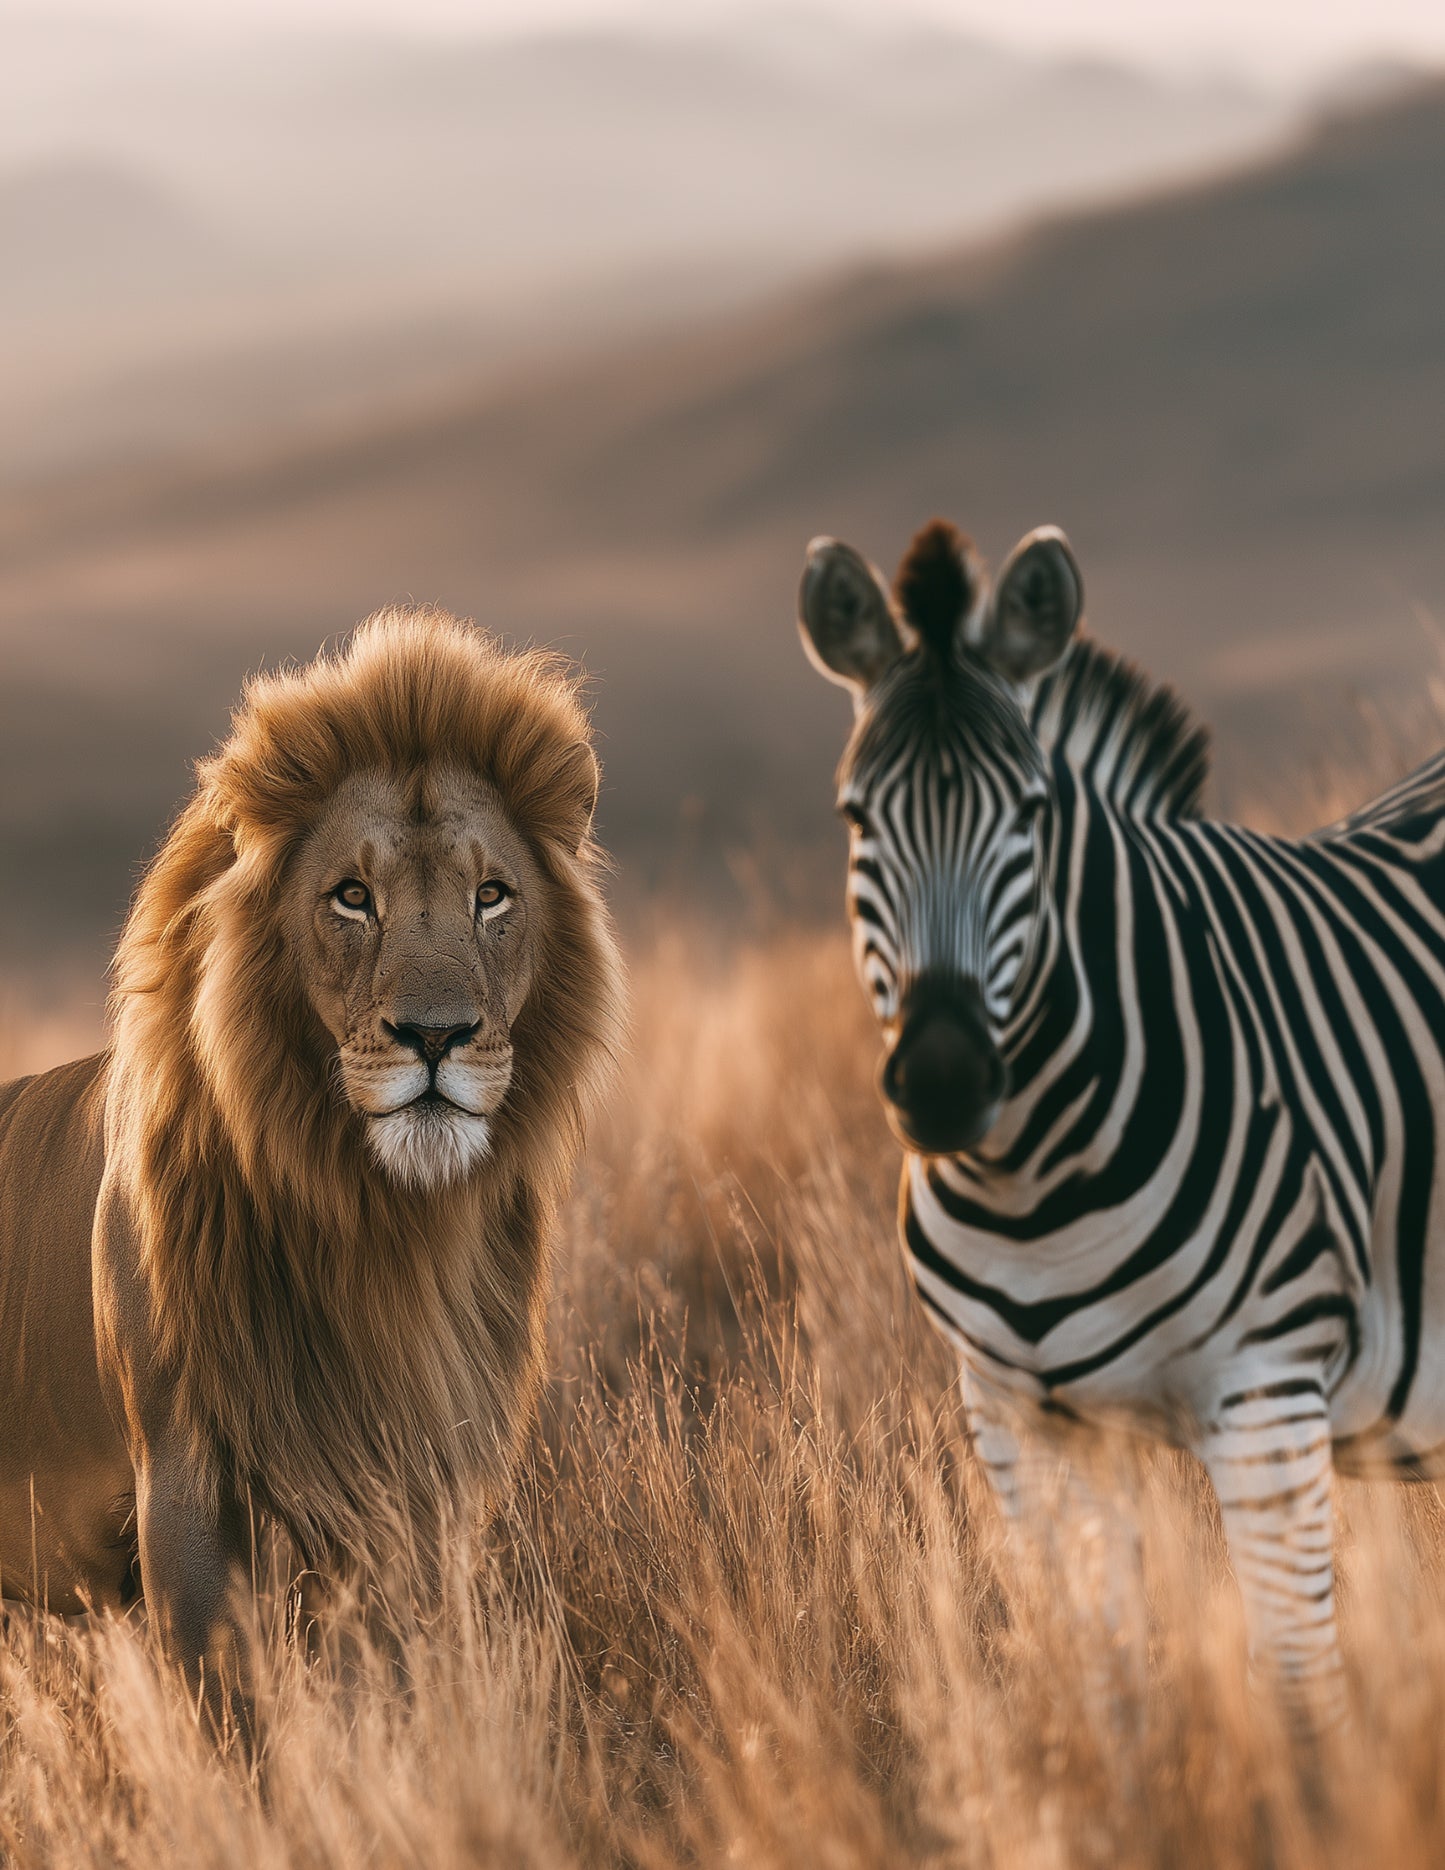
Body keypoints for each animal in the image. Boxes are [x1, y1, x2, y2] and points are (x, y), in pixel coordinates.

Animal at [0, 608, 623, 1719]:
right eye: (350, 897)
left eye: (492, 895)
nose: (436, 1035)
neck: (379, 1223)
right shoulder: (186, 1484)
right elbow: (242, 1722)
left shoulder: (413, 1479)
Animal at [797, 515, 1445, 1726]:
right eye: (856, 819)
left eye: (1029, 814)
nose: (943, 1082)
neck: (1028, 1182)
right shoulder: (1020, 1426)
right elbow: (1103, 1692)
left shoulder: (1264, 1394)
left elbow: (1298, 1693)